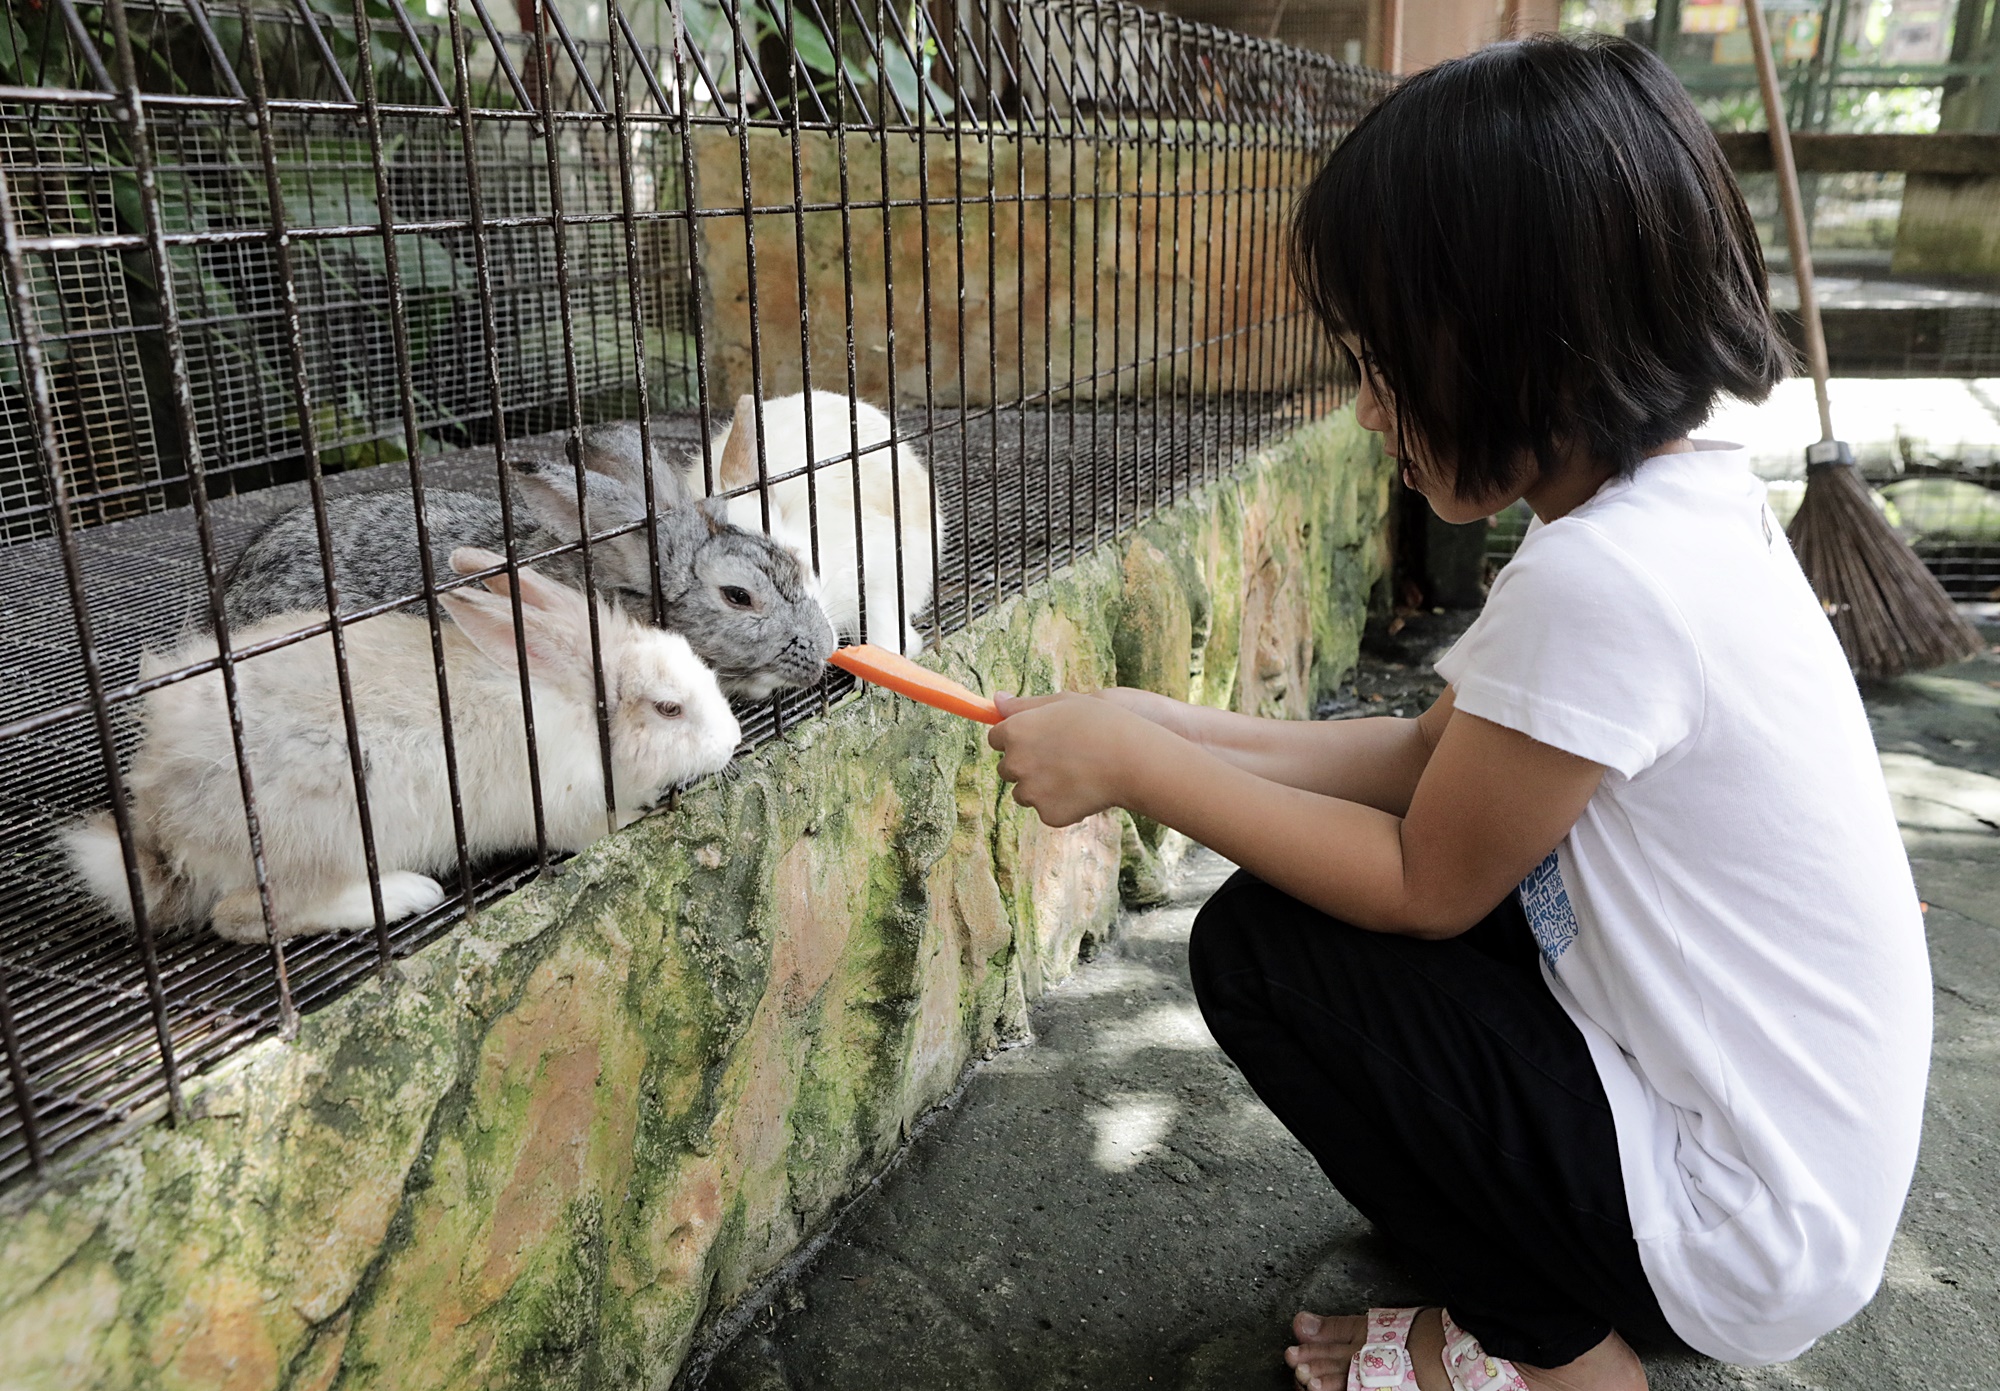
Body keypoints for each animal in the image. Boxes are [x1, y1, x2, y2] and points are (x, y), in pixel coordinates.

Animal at [68, 547, 752, 939]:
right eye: (668, 708)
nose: (732, 740)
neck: (580, 708)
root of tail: (162, 818)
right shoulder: (566, 810)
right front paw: (641, 813)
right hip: (318, 838)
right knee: (240, 917)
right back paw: (404, 895)